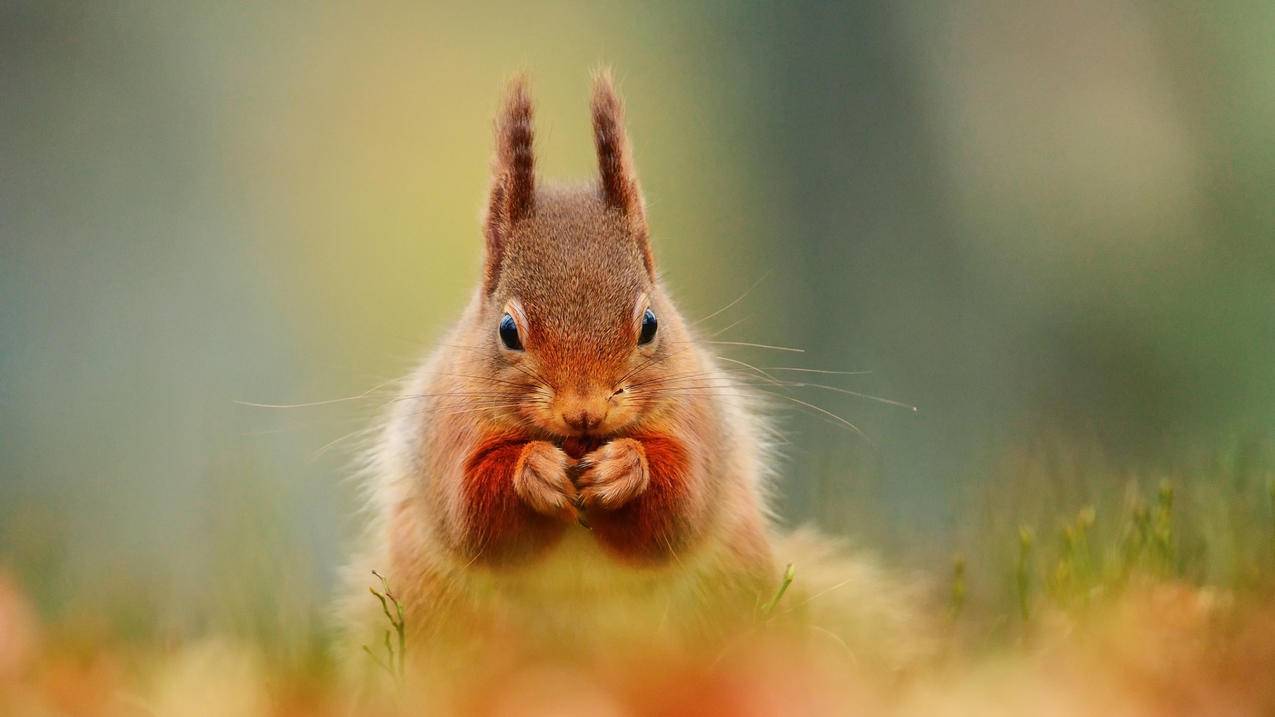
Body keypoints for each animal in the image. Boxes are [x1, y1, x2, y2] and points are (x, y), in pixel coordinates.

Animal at [344, 71, 933, 688]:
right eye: (507, 330)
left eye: (650, 323)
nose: (584, 412)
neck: (579, 444)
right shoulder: (445, 435)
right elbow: (471, 513)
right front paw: (536, 469)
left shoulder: (699, 424)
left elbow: (680, 505)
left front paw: (626, 467)